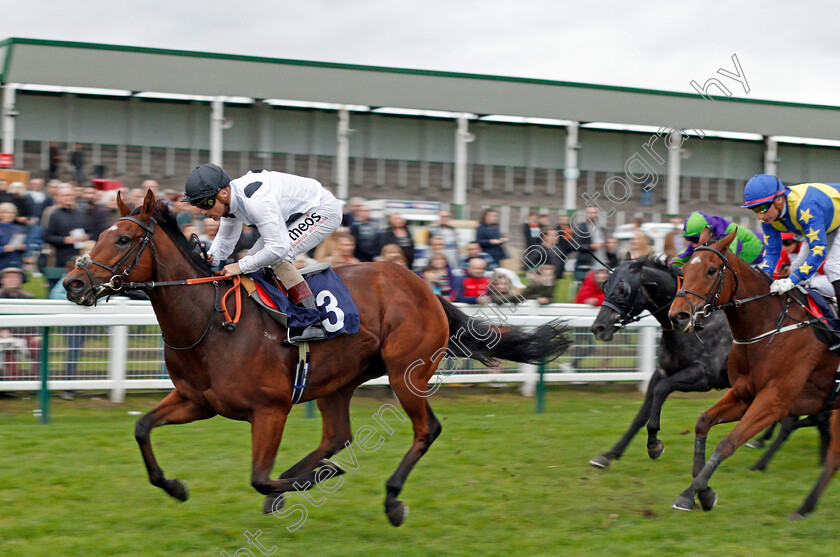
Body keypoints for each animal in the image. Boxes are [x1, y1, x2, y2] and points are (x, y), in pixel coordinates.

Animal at [60, 189, 572, 524]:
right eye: (103, 234)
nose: (73, 282)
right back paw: (315, 473)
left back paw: (390, 498)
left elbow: (260, 477)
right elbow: (142, 428)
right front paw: (176, 486)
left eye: (123, 240)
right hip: (338, 381)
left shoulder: (270, 410)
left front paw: (311, 481)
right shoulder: (197, 401)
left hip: (407, 373)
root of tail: (424, 287)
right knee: (336, 435)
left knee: (425, 429)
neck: (209, 322)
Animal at [588, 256, 732, 470]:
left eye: (623, 289)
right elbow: (642, 413)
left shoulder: (704, 376)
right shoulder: (662, 371)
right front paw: (610, 454)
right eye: (605, 285)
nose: (598, 328)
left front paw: (654, 444)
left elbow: (661, 389)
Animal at [668, 226, 840, 516]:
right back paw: (805, 506)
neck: (768, 327)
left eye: (711, 270)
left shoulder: (775, 400)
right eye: (684, 270)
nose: (678, 316)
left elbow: (728, 442)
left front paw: (689, 494)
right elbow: (703, 421)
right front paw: (704, 493)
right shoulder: (743, 394)